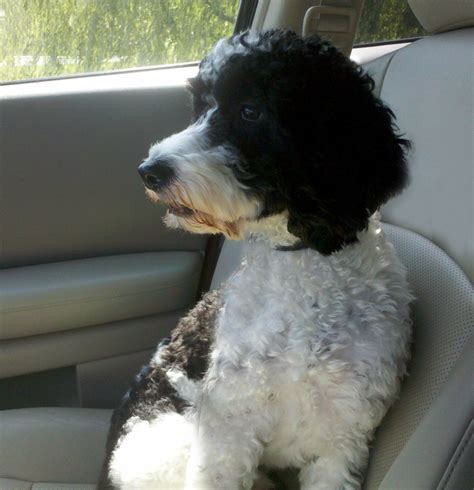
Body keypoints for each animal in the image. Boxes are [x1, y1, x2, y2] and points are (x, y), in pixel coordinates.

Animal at [100, 31, 412, 490]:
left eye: (250, 110)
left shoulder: (342, 433)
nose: (149, 171)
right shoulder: (229, 419)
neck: (303, 266)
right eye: (201, 106)